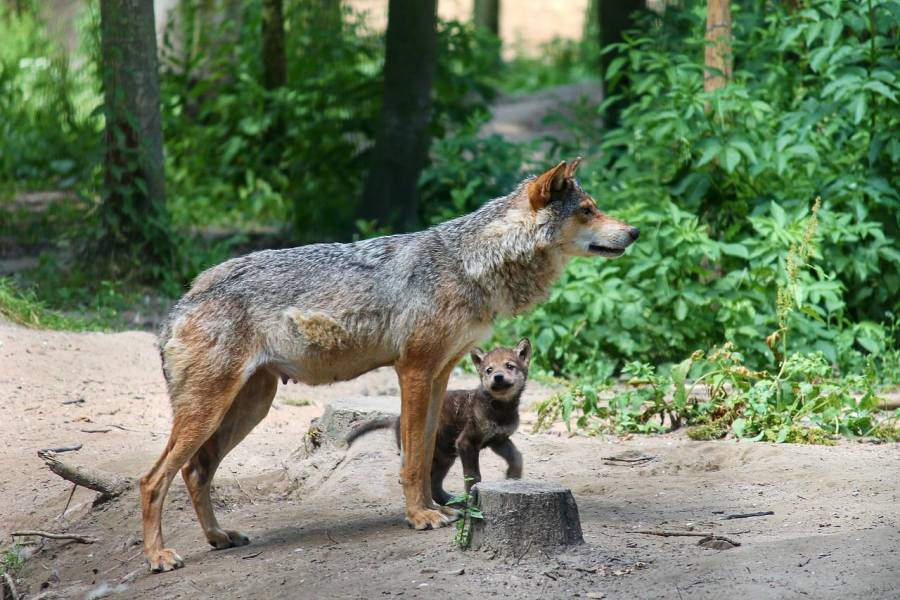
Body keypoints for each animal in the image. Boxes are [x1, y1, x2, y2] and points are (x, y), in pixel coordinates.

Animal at [141, 159, 636, 572]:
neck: (470, 265)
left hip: (248, 409)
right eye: (588, 210)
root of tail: (184, 301)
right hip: (210, 412)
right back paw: (159, 557)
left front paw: (436, 507)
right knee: (152, 480)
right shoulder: (413, 371)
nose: (632, 232)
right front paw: (420, 516)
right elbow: (413, 459)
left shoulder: (439, 376)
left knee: (195, 472)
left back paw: (218, 537)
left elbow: (428, 452)